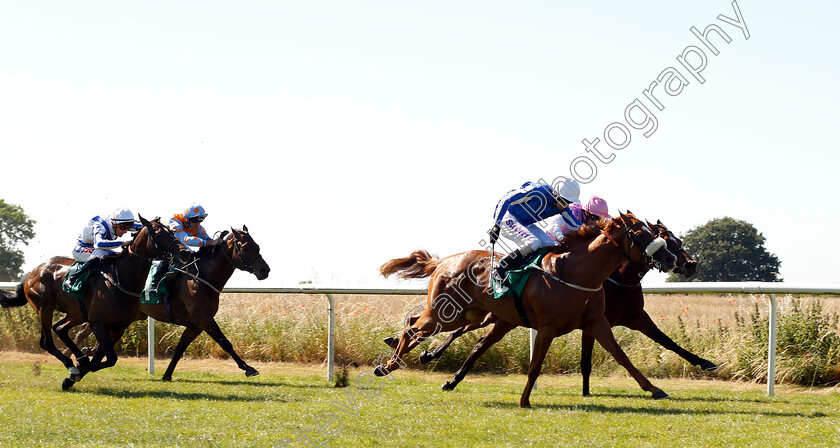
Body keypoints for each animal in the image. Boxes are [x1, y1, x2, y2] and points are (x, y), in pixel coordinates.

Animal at [0, 217, 192, 388]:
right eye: (159, 233)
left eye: (171, 232)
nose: (185, 252)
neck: (120, 279)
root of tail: (33, 272)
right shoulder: (98, 324)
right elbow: (109, 358)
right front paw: (77, 370)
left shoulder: (117, 328)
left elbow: (104, 359)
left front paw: (74, 374)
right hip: (44, 308)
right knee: (47, 341)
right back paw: (72, 364)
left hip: (76, 313)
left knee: (60, 328)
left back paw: (78, 360)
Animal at [71, 226, 272, 380]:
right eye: (245, 248)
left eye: (257, 246)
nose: (265, 270)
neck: (202, 277)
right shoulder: (204, 318)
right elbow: (224, 342)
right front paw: (248, 368)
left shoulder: (195, 324)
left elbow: (180, 348)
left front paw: (167, 375)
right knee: (84, 332)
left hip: (123, 317)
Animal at [378, 212, 680, 408]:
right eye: (640, 234)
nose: (671, 258)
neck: (575, 273)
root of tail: (445, 261)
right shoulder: (547, 328)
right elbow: (535, 366)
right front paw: (524, 400)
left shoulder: (596, 322)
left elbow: (621, 356)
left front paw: (654, 389)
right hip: (447, 312)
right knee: (413, 328)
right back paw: (388, 365)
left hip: (470, 314)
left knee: (419, 325)